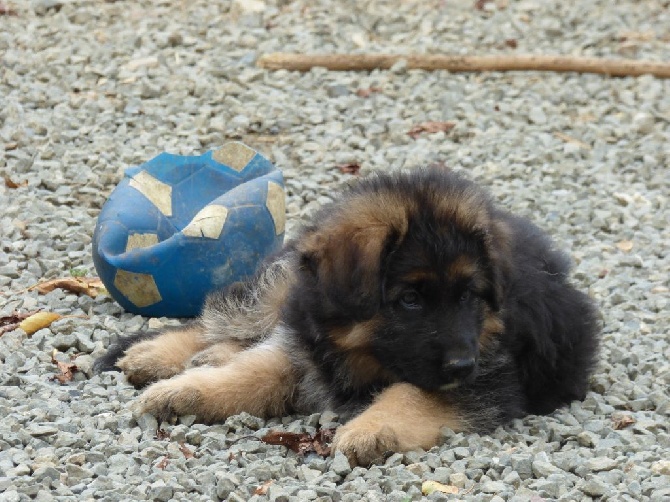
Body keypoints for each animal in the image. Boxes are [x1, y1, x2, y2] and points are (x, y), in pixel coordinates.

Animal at [93, 168, 600, 466]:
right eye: (410, 299)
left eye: (470, 296)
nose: (461, 365)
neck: (363, 354)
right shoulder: (304, 347)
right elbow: (251, 371)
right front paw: (184, 391)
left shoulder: (490, 377)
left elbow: (414, 392)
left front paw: (371, 429)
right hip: (278, 290)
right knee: (224, 319)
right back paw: (159, 355)